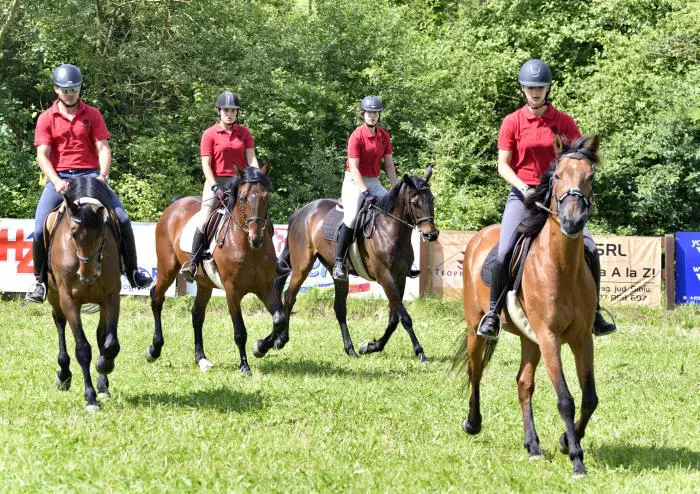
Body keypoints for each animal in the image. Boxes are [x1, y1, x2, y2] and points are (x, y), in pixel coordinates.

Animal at [46, 177, 122, 412]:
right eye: (72, 233)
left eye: (102, 233)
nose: (87, 275)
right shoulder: (69, 300)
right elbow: (82, 349)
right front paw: (90, 398)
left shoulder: (111, 297)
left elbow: (109, 344)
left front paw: (104, 366)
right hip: (54, 297)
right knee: (60, 324)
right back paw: (64, 374)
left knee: (101, 336)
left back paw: (103, 384)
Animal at [146, 164, 286, 375]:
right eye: (243, 198)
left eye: (266, 197)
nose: (256, 239)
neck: (248, 247)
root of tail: (174, 205)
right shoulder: (232, 291)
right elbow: (240, 331)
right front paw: (244, 366)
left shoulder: (266, 287)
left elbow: (279, 320)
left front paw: (260, 347)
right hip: (167, 268)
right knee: (156, 297)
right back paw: (154, 349)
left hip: (204, 283)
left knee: (197, 314)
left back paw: (201, 359)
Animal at [267, 166, 439, 363]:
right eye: (414, 202)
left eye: (432, 199)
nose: (431, 235)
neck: (390, 230)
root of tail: (302, 212)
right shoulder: (385, 277)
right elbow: (404, 318)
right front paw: (420, 352)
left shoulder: (399, 278)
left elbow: (394, 319)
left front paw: (372, 346)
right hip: (302, 266)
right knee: (289, 296)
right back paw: (280, 340)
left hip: (337, 273)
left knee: (339, 308)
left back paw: (350, 349)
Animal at [454, 135, 600, 477]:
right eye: (557, 175)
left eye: (589, 177)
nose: (573, 221)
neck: (562, 267)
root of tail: (479, 237)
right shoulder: (549, 338)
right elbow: (565, 399)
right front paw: (576, 459)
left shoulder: (582, 338)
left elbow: (589, 398)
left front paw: (565, 441)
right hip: (477, 327)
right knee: (476, 370)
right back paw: (473, 423)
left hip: (528, 338)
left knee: (524, 384)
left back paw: (532, 445)